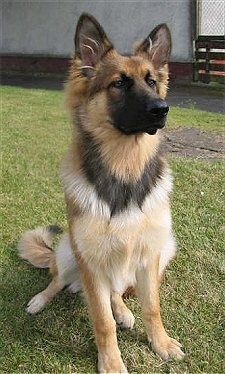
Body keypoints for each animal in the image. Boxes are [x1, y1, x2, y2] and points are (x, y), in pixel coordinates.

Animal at [18, 12, 185, 374]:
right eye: (119, 83)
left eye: (152, 82)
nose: (162, 109)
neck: (125, 168)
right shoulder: (90, 263)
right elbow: (102, 322)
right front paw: (111, 363)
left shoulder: (149, 255)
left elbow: (152, 308)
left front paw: (161, 344)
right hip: (69, 251)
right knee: (57, 279)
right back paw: (40, 300)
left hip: (164, 248)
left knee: (116, 292)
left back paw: (124, 311)